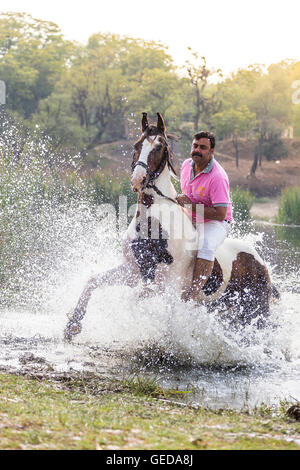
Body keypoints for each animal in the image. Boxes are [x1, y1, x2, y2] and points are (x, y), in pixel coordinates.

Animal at [64, 114, 280, 342]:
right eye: (137, 144)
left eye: (159, 147)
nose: (138, 180)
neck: (151, 227)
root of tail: (261, 261)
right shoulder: (132, 270)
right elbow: (93, 281)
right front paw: (73, 325)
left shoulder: (166, 286)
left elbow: (137, 301)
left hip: (257, 309)